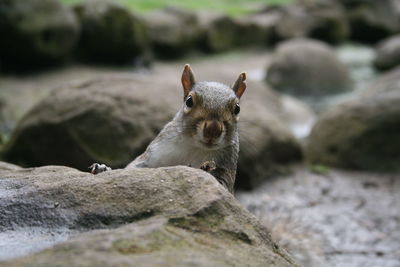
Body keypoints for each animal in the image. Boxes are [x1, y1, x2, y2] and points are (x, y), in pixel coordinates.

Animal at [91, 65, 247, 195]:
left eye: (237, 109)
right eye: (189, 101)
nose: (212, 130)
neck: (194, 147)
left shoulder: (226, 168)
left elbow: (222, 185)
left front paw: (207, 168)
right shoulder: (153, 154)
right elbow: (132, 168)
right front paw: (103, 169)